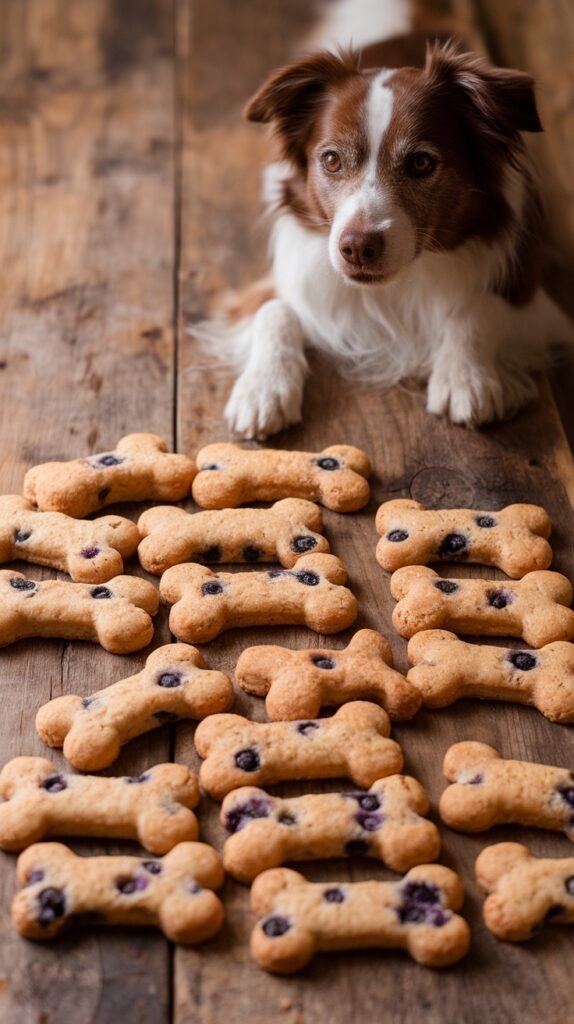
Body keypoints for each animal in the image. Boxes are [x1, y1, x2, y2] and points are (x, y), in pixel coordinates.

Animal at [193, 0, 572, 436]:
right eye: (332, 160)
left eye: (421, 163)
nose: (357, 249)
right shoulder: (277, 278)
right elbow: (275, 310)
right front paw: (262, 389)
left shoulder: (531, 296)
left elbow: (478, 305)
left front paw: (466, 377)